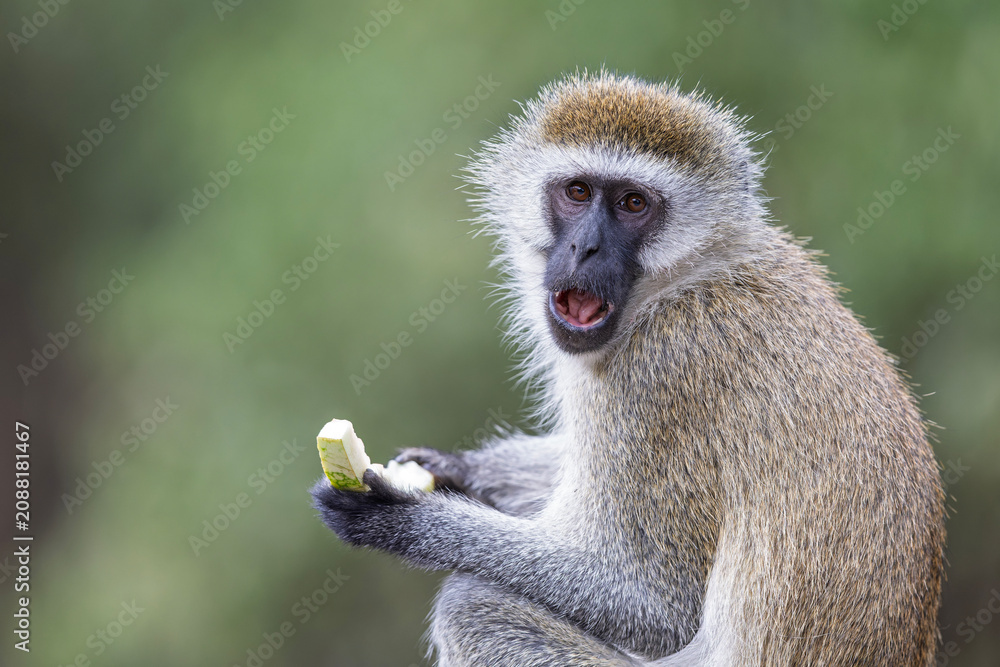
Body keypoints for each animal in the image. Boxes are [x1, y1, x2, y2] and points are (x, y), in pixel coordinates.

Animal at [312, 70, 945, 666]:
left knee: (473, 607)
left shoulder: (663, 369)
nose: (585, 249)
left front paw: (402, 517)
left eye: (632, 204)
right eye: (577, 192)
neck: (687, 280)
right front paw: (455, 469)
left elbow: (658, 604)